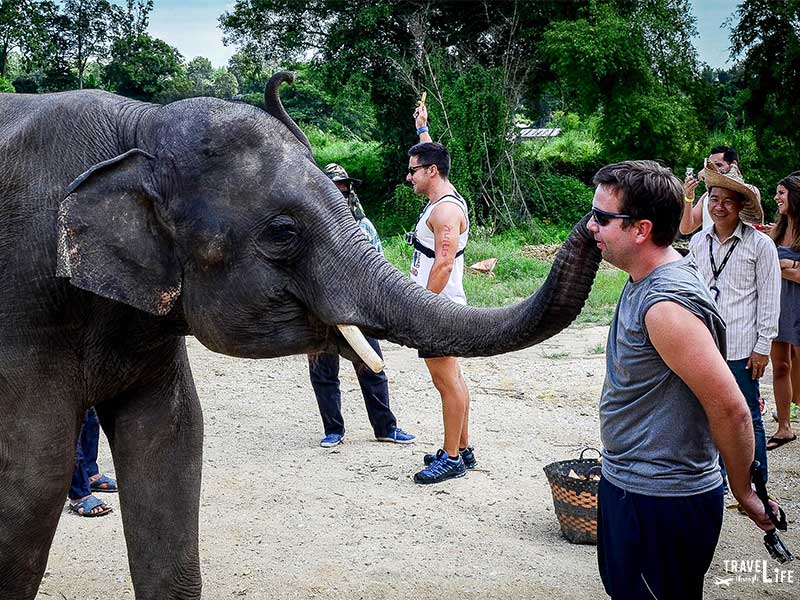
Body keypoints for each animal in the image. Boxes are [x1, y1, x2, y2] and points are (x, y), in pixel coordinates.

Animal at [0, 72, 600, 596]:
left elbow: (173, 443)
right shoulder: (26, 303)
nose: (596, 215)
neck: (139, 128)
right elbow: (33, 475)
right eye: (283, 233)